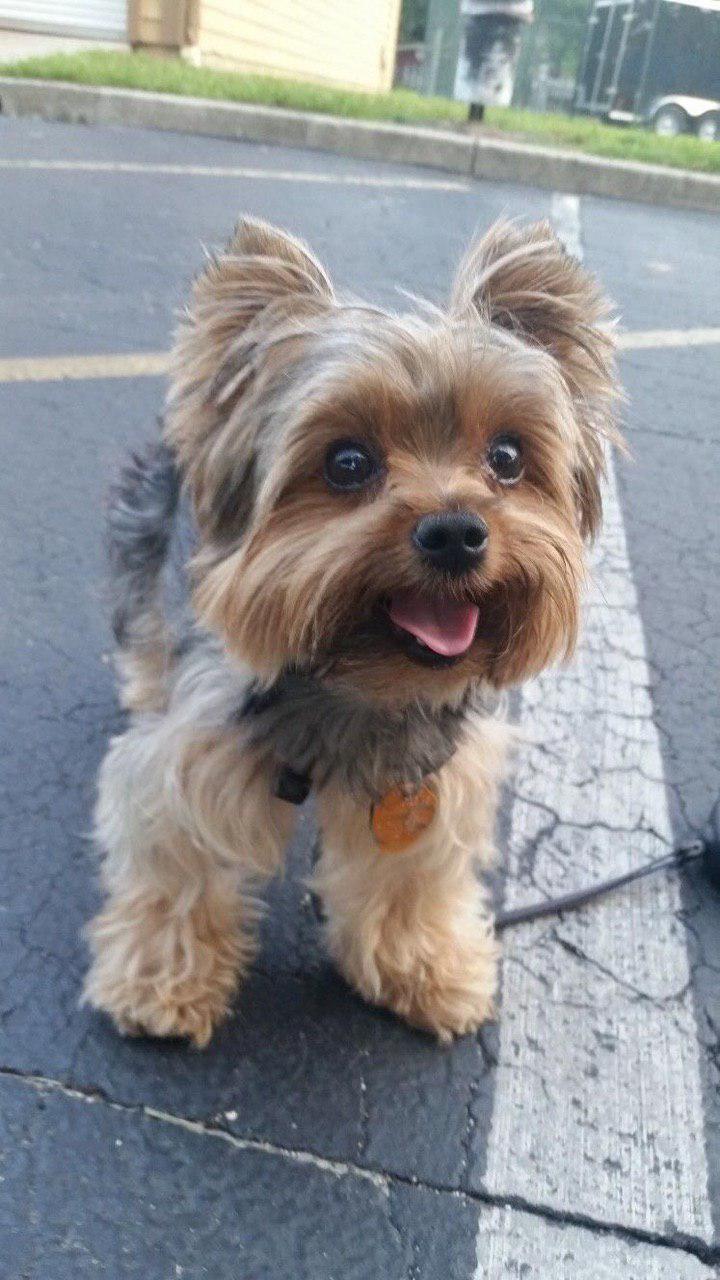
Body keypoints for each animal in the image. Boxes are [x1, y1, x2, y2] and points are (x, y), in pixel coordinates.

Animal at [82, 215, 617, 1044]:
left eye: (506, 457)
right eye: (347, 463)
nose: (456, 532)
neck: (363, 686)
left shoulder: (431, 778)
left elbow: (408, 876)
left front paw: (421, 968)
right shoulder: (191, 755)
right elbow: (177, 864)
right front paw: (164, 985)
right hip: (150, 522)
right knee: (143, 618)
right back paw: (144, 681)